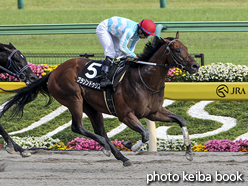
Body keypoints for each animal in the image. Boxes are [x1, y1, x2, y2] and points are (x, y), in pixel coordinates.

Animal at [0, 33, 200, 166]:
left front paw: (189, 152)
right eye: (177, 50)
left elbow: (181, 120)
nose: (194, 65)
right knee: (78, 127)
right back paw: (107, 148)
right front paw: (133, 146)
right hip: (74, 98)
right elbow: (144, 133)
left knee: (100, 130)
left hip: (91, 106)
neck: (144, 78)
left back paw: (120, 156)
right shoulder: (126, 115)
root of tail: (54, 72)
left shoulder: (154, 112)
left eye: (187, 48)